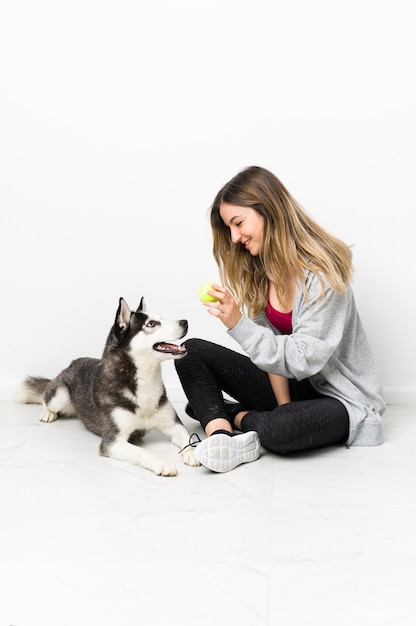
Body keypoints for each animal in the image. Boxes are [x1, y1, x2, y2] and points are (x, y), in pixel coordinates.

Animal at [18, 294, 201, 476]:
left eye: (160, 318)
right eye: (151, 324)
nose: (185, 322)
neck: (144, 383)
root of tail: (74, 361)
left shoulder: (174, 426)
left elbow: (188, 438)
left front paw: (194, 453)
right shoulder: (113, 442)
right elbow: (140, 451)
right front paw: (160, 462)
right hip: (61, 395)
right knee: (46, 397)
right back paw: (47, 413)